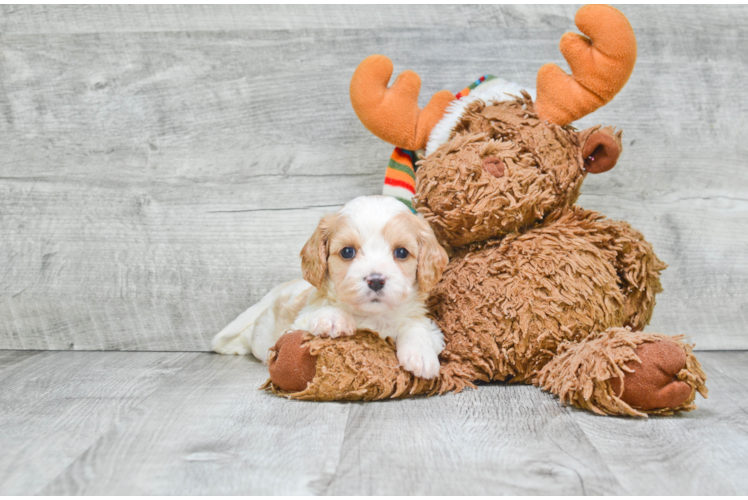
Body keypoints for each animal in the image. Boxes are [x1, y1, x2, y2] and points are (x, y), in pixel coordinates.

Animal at [213, 195, 452, 378]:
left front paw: (421, 356)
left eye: (401, 252)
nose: (375, 280)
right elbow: (321, 312)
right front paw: (334, 318)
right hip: (261, 336)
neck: (374, 317)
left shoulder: (430, 329)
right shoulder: (297, 324)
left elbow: (416, 328)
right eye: (347, 252)